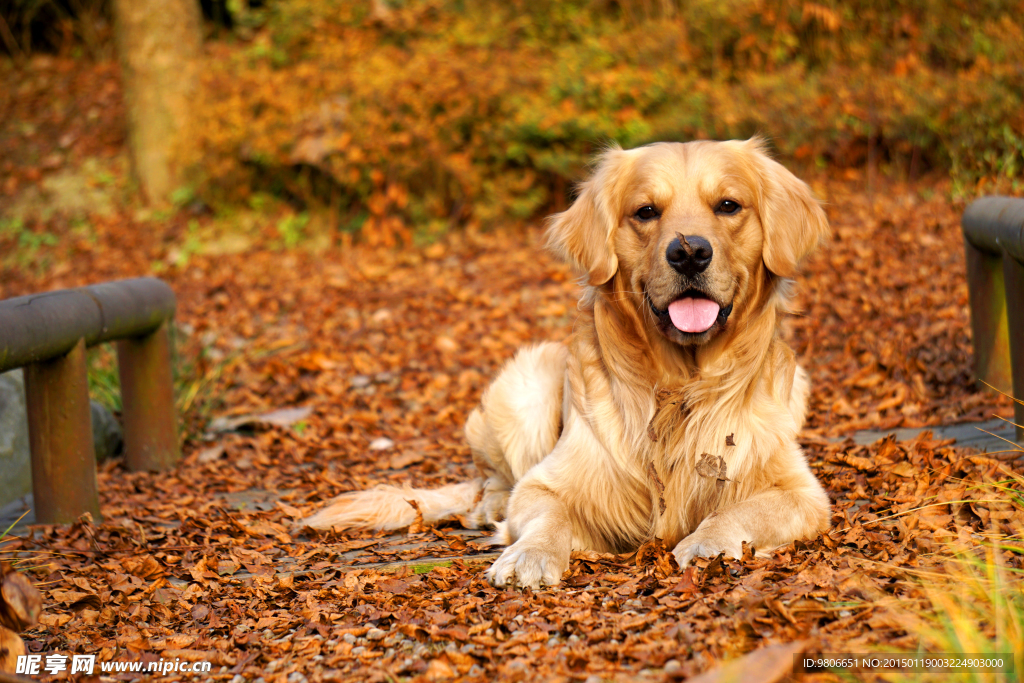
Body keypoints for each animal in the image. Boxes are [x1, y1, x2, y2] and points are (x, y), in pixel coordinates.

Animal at [303, 137, 831, 589]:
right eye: (645, 212)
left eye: (728, 206)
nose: (688, 251)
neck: (677, 387)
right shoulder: (546, 483)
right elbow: (546, 513)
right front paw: (528, 555)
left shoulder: (803, 493)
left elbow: (740, 511)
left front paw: (708, 542)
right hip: (527, 379)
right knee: (492, 480)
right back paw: (489, 505)